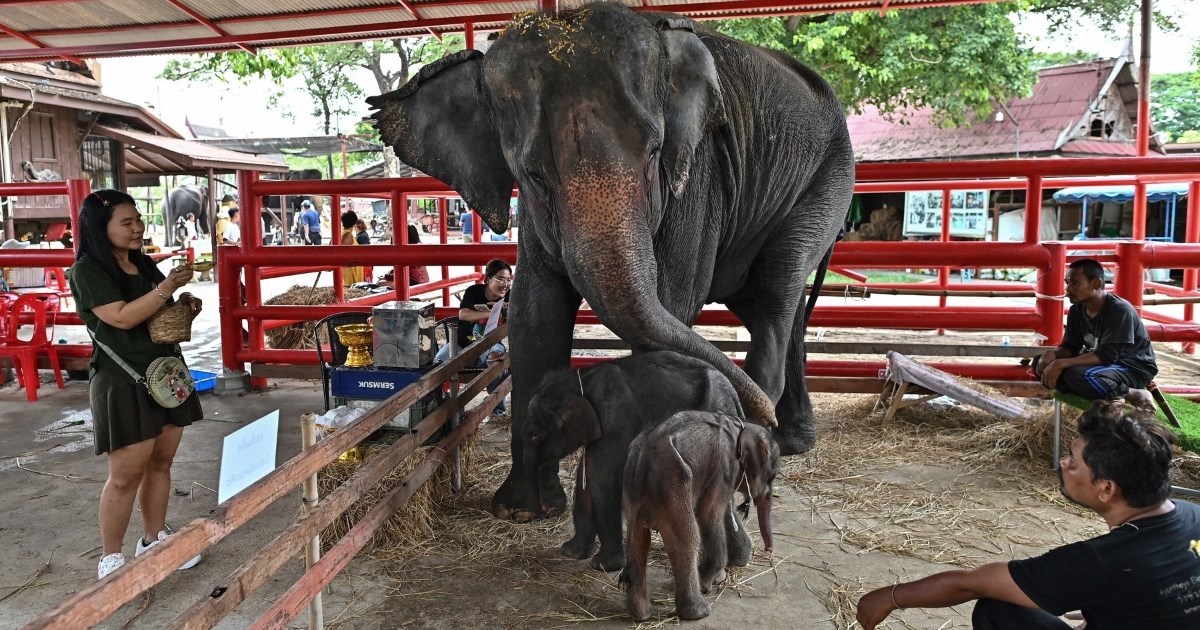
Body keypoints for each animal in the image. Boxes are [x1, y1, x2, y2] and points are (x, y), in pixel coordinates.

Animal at [364, 2, 854, 518]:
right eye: (533, 176)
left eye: (655, 154)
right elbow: (534, 313)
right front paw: (524, 511)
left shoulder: (698, 176)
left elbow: (671, 303)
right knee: (769, 304)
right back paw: (788, 440)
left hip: (829, 181)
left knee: (778, 284)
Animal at [523, 348, 739, 568]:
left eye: (534, 436)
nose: (542, 512)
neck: (580, 378)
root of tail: (734, 393)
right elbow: (585, 477)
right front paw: (571, 553)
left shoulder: (615, 419)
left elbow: (601, 480)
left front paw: (604, 565)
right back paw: (736, 561)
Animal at [619, 408, 777, 619]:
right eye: (771, 476)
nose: (769, 550)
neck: (741, 427)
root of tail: (644, 459)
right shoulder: (724, 466)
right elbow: (709, 513)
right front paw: (709, 582)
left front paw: (719, 578)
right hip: (674, 485)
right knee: (687, 539)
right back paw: (699, 612)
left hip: (633, 489)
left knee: (637, 540)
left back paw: (642, 615)